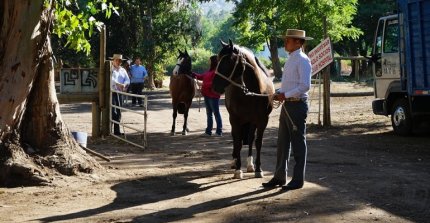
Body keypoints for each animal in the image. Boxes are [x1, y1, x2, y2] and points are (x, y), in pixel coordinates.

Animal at [212, 40, 276, 179]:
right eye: (218, 60)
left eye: (227, 62)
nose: (214, 86)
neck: (251, 92)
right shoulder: (235, 119)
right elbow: (238, 142)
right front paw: (238, 170)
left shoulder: (262, 120)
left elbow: (258, 142)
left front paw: (258, 169)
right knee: (236, 139)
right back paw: (234, 161)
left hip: (251, 121)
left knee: (250, 138)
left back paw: (250, 165)